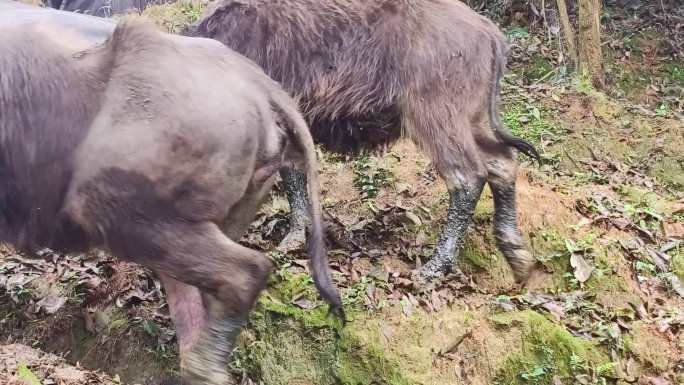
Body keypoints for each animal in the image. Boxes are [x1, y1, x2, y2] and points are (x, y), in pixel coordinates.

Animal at [186, 0, 540, 284]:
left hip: (437, 120)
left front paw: (291, 240)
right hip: (473, 120)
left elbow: (291, 178)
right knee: (502, 163)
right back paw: (517, 255)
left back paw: (435, 267)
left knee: (468, 177)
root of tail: (489, 33)